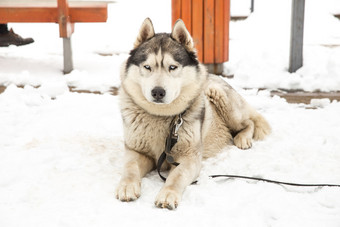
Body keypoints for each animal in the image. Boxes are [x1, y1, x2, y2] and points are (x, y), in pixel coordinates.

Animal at [115, 17, 270, 209]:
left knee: (249, 122)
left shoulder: (189, 158)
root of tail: (214, 76)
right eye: (147, 67)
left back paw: (243, 138)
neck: (161, 116)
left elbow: (176, 176)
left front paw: (168, 194)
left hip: (218, 94)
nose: (157, 92)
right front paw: (127, 186)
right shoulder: (136, 151)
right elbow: (130, 168)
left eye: (172, 67)